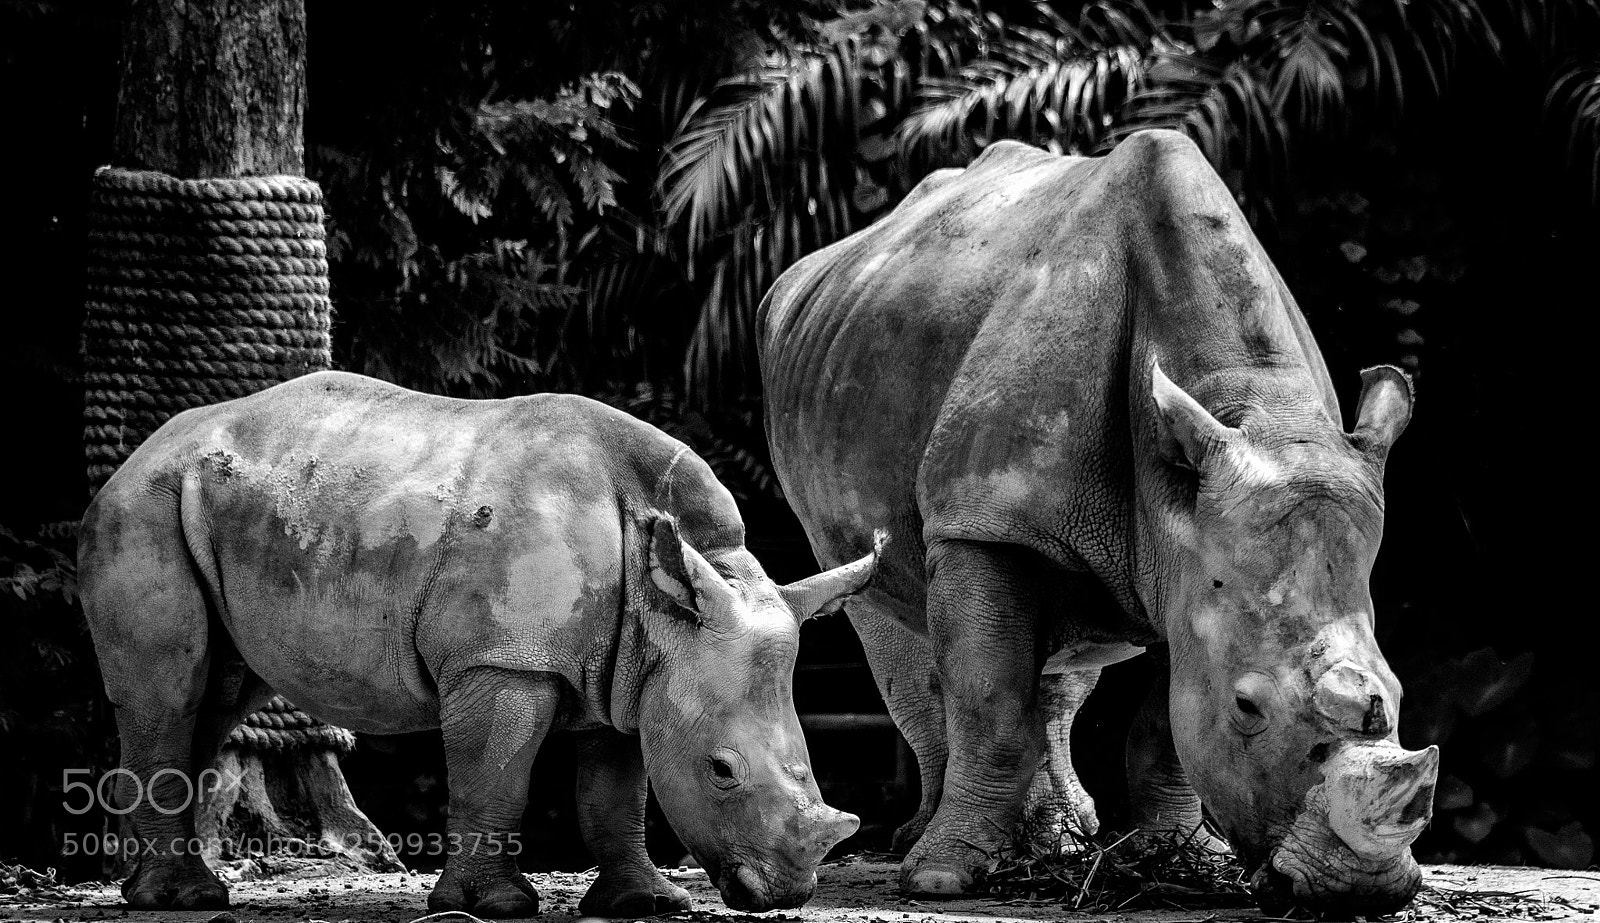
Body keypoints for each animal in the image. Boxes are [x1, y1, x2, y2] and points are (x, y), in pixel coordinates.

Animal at [78, 370, 872, 918]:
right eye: (721, 770)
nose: (787, 893)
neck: (663, 609)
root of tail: (140, 453)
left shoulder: (635, 670)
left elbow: (614, 792)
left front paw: (644, 904)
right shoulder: (503, 659)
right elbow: (498, 771)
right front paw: (495, 907)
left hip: (220, 503)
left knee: (216, 697)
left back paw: (156, 889)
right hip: (141, 506)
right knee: (172, 690)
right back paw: (181, 900)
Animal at [759, 130, 1438, 915]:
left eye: (1398, 695)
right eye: (1247, 706)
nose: (1358, 889)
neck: (1255, 404)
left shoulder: (1189, 557)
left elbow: (1162, 725)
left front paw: (1186, 859)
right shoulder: (983, 517)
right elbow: (989, 700)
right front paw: (943, 877)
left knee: (1060, 664)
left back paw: (1059, 841)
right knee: (891, 622)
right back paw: (925, 842)